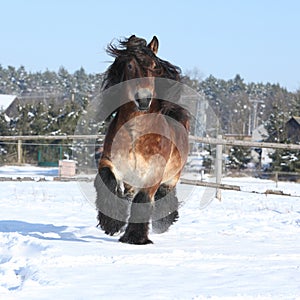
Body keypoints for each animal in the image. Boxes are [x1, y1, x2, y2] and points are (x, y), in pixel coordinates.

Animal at [94, 36, 190, 245]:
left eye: (154, 66)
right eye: (130, 66)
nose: (144, 99)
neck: (136, 135)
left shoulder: (154, 174)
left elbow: (144, 199)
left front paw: (135, 238)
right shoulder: (109, 161)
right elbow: (108, 181)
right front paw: (112, 224)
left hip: (171, 177)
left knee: (165, 197)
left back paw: (165, 222)